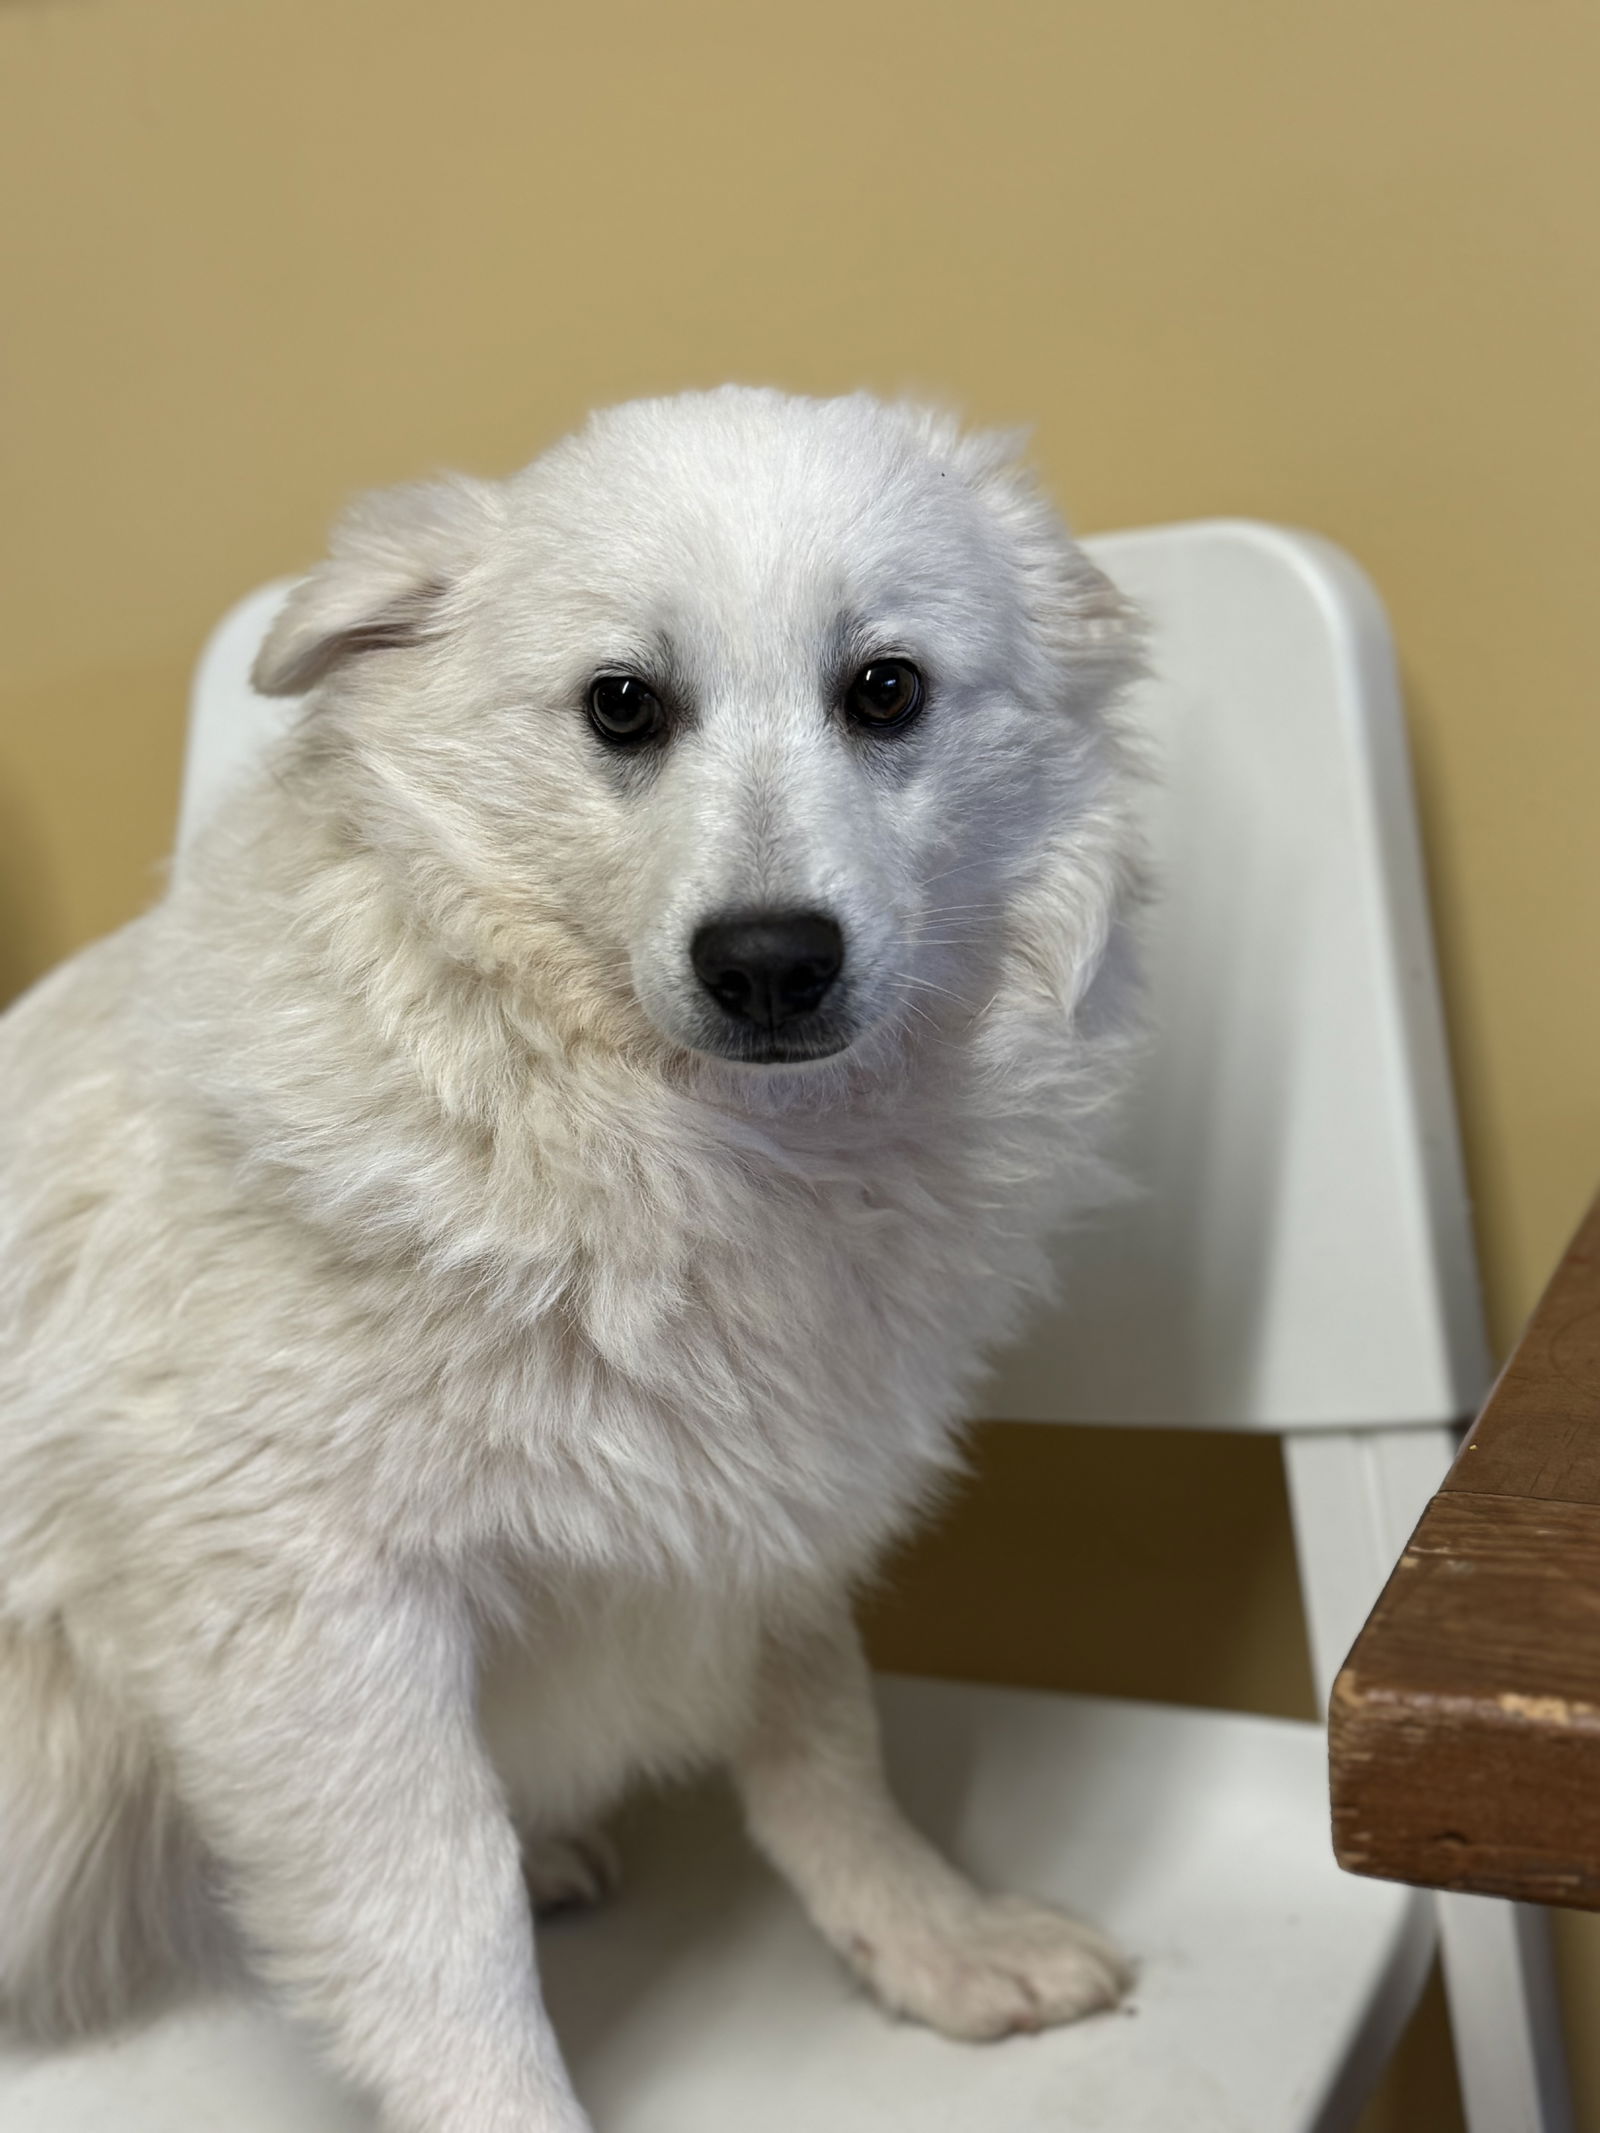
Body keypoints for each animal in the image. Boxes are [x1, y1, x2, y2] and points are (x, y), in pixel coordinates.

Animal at [0, 392, 1152, 2124]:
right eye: (624, 705)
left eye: (886, 689)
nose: (770, 964)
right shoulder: (306, 1608)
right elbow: (439, 1934)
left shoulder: (762, 1516)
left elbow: (830, 1750)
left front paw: (931, 1943)